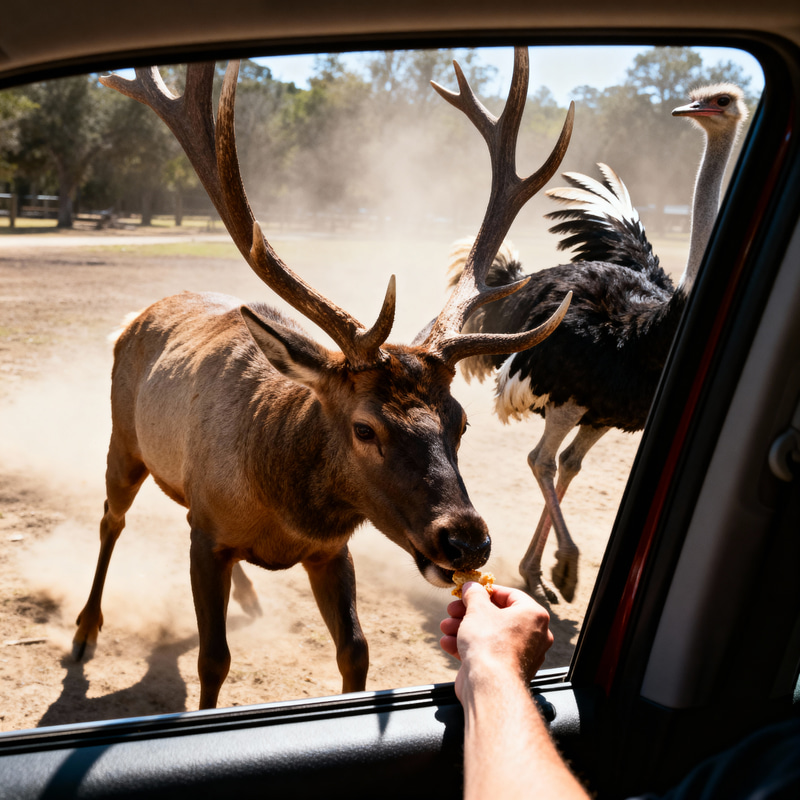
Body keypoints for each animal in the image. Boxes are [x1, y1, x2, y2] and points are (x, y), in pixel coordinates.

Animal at [72, 48, 574, 710]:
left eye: (461, 422)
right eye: (364, 428)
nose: (466, 541)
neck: (280, 506)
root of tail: (137, 316)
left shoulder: (330, 551)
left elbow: (356, 651)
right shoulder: (206, 535)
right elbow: (212, 659)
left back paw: (248, 598)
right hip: (122, 440)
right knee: (111, 519)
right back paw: (84, 632)